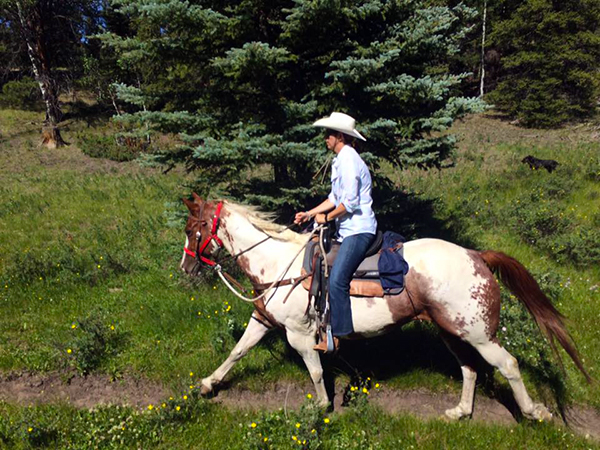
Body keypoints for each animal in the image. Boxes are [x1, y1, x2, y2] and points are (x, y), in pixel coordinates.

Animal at [179, 195, 592, 420]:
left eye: (189, 229)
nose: (184, 267)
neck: (278, 264)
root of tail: (477, 255)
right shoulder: (262, 319)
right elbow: (237, 351)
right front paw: (207, 384)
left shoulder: (299, 335)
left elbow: (315, 372)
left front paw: (322, 406)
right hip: (452, 330)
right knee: (470, 368)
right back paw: (460, 411)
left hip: (478, 333)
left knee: (506, 364)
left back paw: (534, 412)